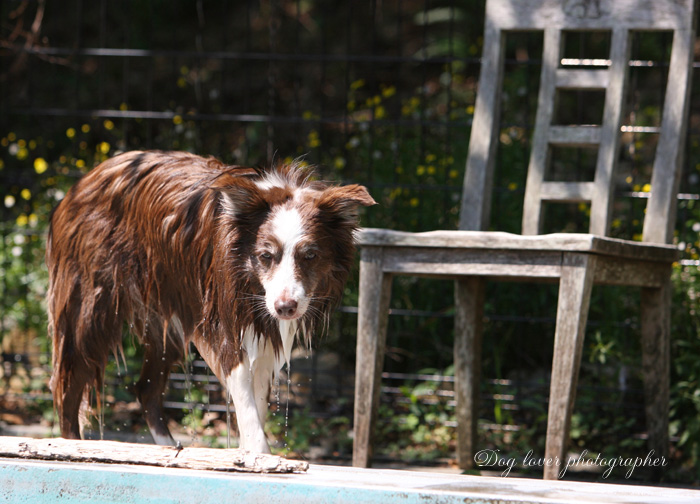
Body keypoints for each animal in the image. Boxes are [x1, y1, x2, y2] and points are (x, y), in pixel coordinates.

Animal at [46, 151, 374, 452]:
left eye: (310, 255)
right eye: (265, 256)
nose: (285, 308)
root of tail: (82, 182)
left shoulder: (266, 333)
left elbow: (256, 403)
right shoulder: (223, 324)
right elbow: (245, 399)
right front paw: (259, 455)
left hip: (169, 317)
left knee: (146, 389)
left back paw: (170, 448)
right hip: (91, 310)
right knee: (68, 385)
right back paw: (69, 444)